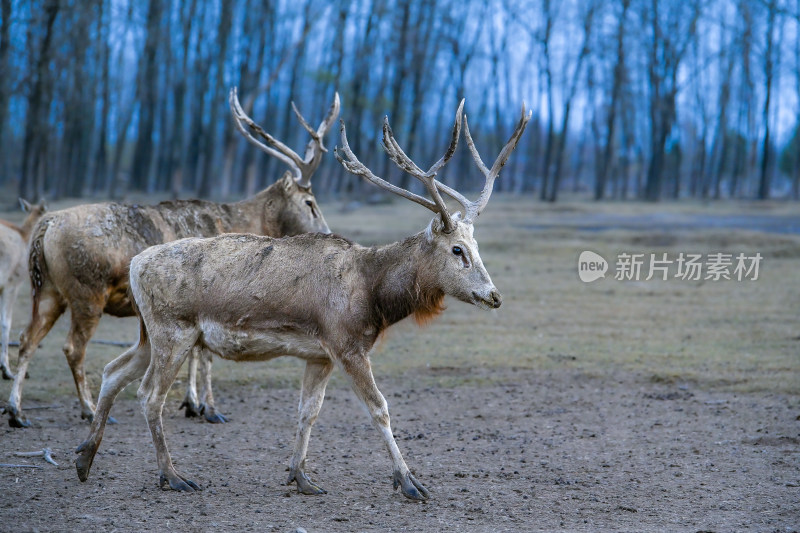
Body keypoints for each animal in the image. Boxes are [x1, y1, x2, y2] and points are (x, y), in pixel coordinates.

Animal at [75, 98, 532, 498]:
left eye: (477, 245)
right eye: (457, 250)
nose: (493, 295)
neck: (372, 295)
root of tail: (136, 265)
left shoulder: (320, 354)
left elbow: (307, 410)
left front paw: (300, 476)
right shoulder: (346, 344)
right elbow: (379, 408)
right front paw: (410, 483)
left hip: (149, 332)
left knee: (113, 370)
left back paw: (84, 458)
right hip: (174, 331)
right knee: (150, 395)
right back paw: (172, 476)